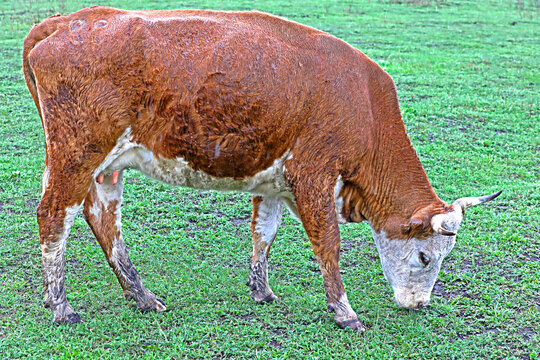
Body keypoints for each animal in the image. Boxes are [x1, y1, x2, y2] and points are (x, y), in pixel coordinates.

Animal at [23, 6, 500, 332]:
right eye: (424, 256)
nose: (418, 304)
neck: (362, 101)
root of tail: (68, 20)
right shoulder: (313, 174)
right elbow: (328, 244)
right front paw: (344, 312)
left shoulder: (275, 182)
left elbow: (263, 232)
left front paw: (261, 289)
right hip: (76, 154)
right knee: (54, 216)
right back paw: (61, 305)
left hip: (105, 166)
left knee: (103, 219)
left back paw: (141, 296)